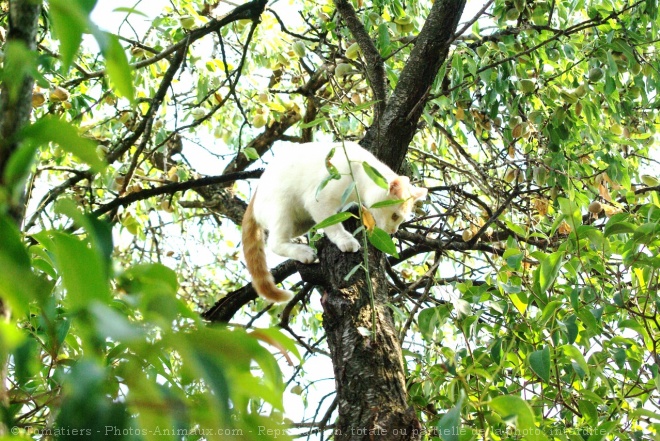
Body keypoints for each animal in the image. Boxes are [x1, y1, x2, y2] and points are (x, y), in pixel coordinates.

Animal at [242, 142, 428, 302]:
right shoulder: (318, 200)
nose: (392, 231)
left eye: (400, 219)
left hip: (300, 222)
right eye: (395, 216)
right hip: (282, 207)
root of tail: (256, 194)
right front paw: (345, 240)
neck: (360, 173)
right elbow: (333, 226)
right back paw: (303, 252)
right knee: (274, 242)